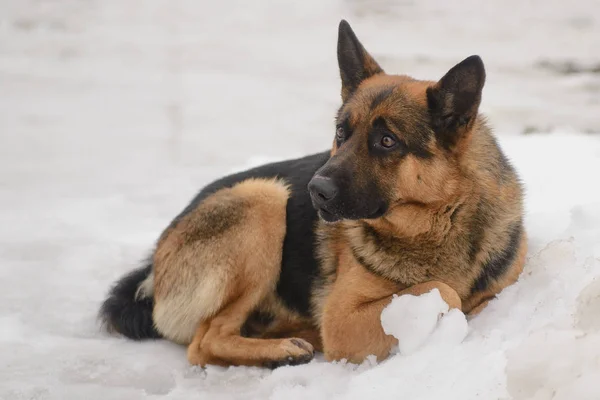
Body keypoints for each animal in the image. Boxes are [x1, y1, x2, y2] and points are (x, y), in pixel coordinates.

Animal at [101, 20, 528, 368]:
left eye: (387, 141)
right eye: (341, 132)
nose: (314, 191)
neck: (439, 223)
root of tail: (155, 260)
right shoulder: (342, 320)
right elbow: (444, 292)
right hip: (263, 198)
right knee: (204, 342)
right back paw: (281, 352)